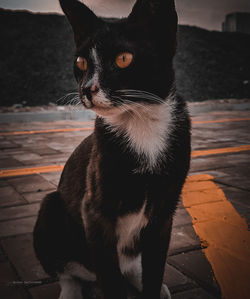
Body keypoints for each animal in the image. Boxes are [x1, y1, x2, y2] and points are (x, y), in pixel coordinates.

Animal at [32, 1, 189, 298]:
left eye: (123, 59)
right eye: (80, 62)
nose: (87, 89)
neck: (140, 124)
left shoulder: (164, 213)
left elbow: (155, 267)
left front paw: (152, 287)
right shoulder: (95, 212)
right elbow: (110, 277)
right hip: (50, 212)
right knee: (68, 272)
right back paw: (71, 290)